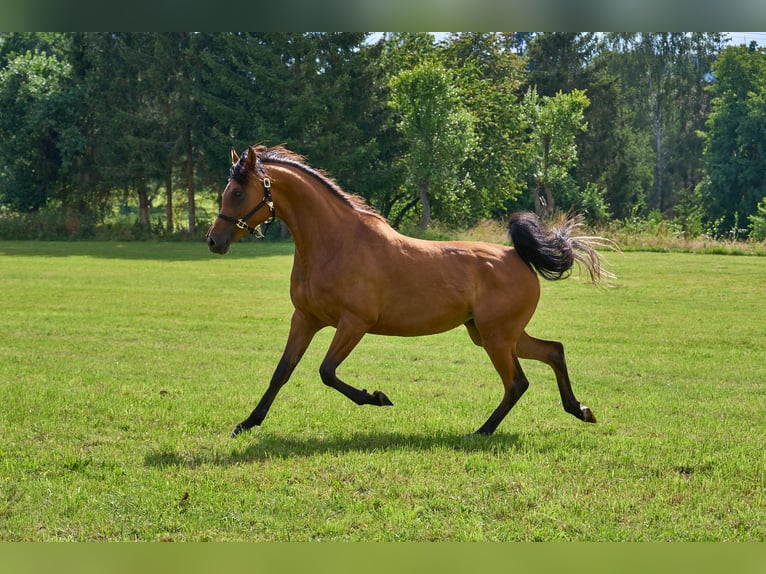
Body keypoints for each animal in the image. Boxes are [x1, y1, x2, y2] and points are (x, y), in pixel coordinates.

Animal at [206, 145, 613, 437]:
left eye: (238, 192)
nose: (213, 241)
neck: (334, 243)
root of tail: (519, 256)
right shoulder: (304, 319)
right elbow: (282, 372)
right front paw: (246, 423)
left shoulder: (353, 323)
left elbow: (326, 371)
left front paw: (376, 398)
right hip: (493, 334)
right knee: (553, 352)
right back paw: (580, 410)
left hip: (497, 337)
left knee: (517, 382)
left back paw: (482, 431)